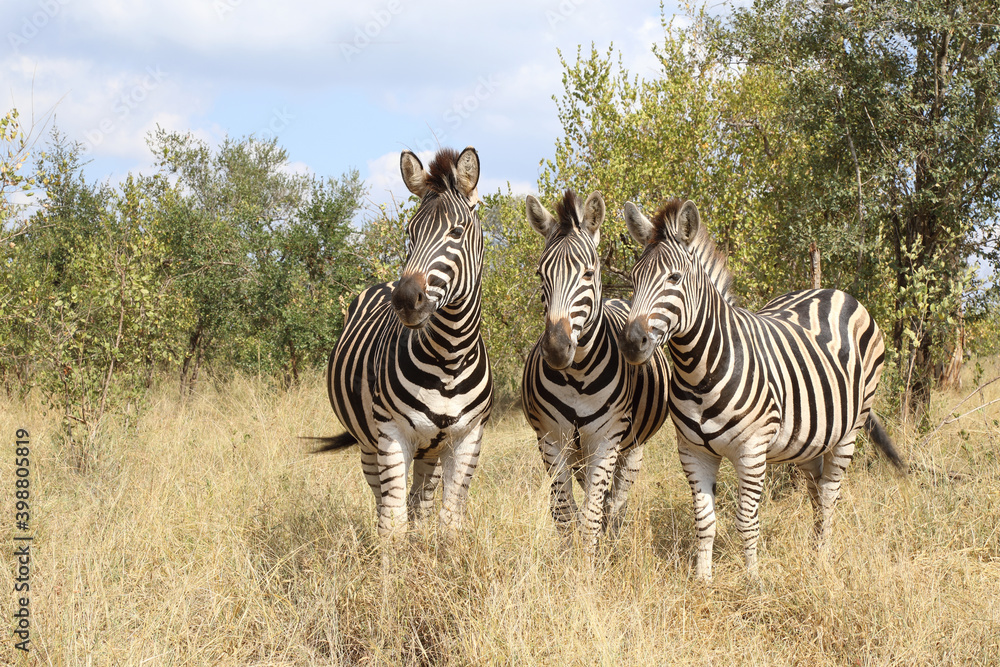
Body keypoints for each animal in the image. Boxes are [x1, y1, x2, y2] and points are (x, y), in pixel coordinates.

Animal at [317, 147, 493, 539]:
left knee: (420, 503)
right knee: (385, 502)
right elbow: (392, 524)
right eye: (410, 232)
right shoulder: (391, 435)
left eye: (456, 231)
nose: (405, 299)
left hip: (432, 453)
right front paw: (392, 557)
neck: (449, 356)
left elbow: (449, 523)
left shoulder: (467, 439)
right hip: (370, 446)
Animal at [521, 190, 671, 555]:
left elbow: (592, 515)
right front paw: (568, 560)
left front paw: (590, 564)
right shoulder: (551, 440)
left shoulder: (607, 440)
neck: (577, 375)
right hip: (579, 453)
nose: (556, 349)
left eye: (588, 273)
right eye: (540, 275)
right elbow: (564, 514)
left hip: (631, 448)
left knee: (616, 502)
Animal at [618, 198, 904, 581]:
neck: (699, 370)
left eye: (674, 278)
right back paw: (814, 551)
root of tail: (832, 291)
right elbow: (704, 520)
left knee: (830, 495)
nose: (631, 342)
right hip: (810, 439)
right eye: (634, 279)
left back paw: (822, 559)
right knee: (816, 492)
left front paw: (753, 579)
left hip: (850, 430)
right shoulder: (693, 451)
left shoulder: (752, 450)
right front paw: (703, 579)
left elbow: (746, 519)